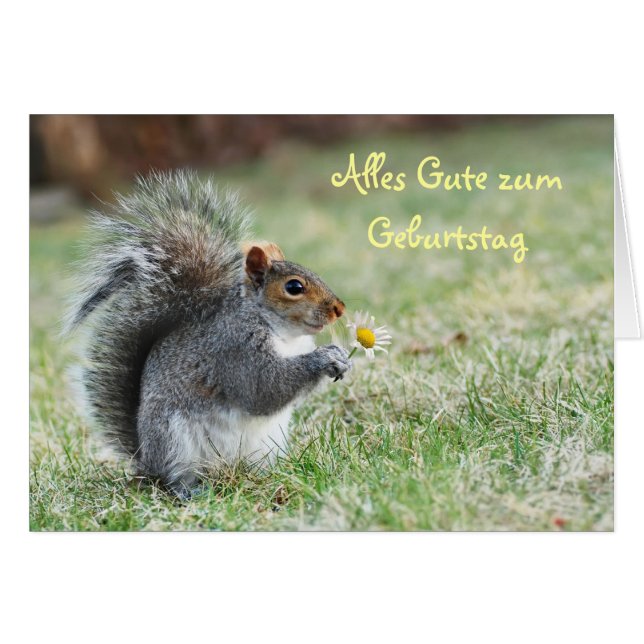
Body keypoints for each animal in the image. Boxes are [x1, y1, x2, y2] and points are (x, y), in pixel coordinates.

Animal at [67, 170, 351, 497]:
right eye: (294, 287)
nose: (339, 309)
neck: (284, 334)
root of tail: (144, 459)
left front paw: (342, 357)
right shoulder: (235, 349)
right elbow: (264, 388)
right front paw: (324, 358)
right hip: (174, 439)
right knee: (173, 478)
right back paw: (190, 491)